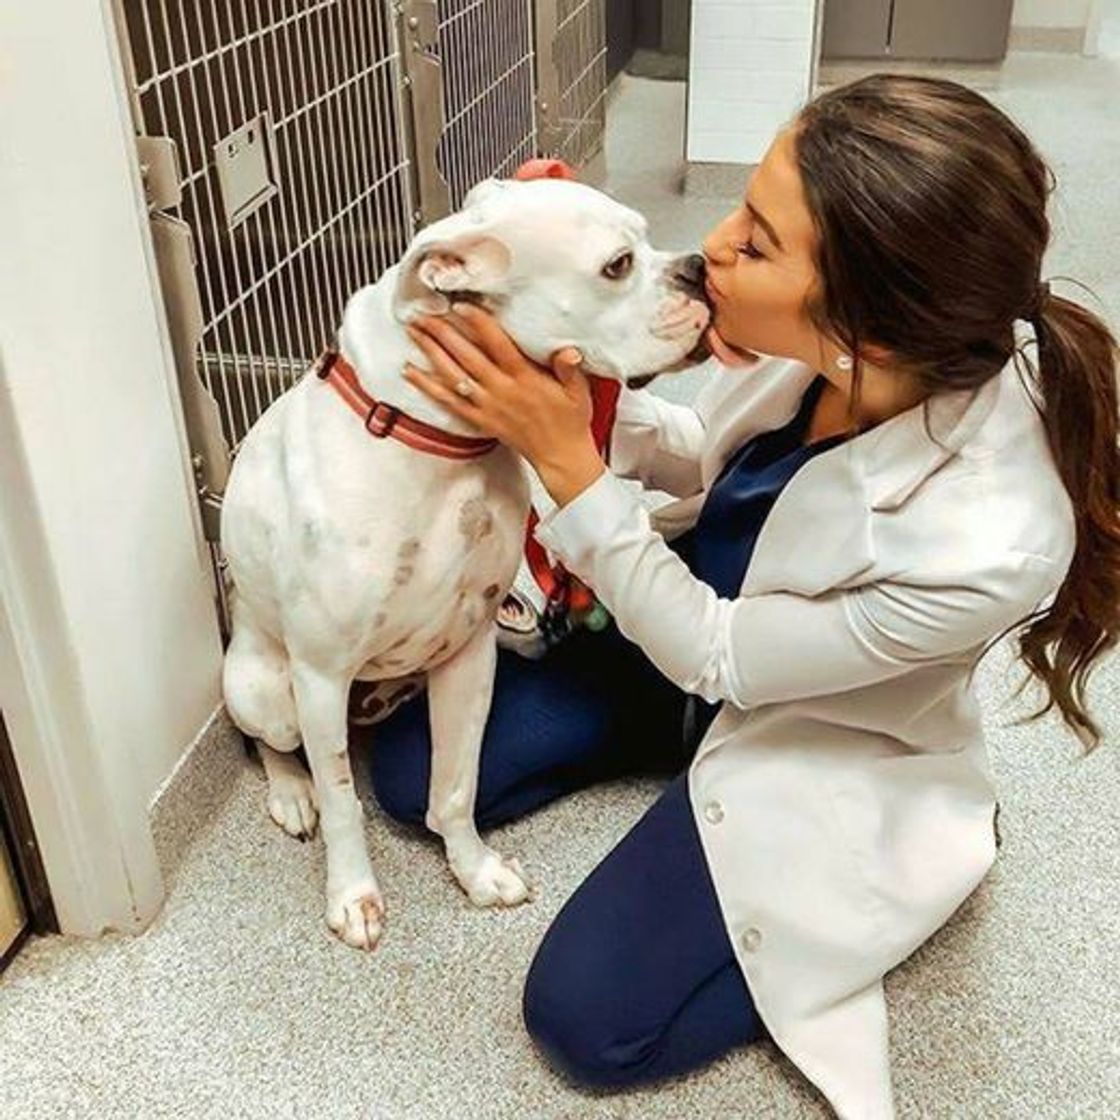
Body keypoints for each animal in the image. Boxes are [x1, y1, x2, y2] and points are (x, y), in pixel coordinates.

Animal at [218, 179, 707, 949]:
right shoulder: (320, 674)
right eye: (618, 265)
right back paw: (291, 793)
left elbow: (455, 786)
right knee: (275, 744)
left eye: (647, 240)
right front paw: (352, 896)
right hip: (267, 689)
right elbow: (343, 799)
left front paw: (474, 871)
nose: (699, 269)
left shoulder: (469, 652)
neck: (438, 443)